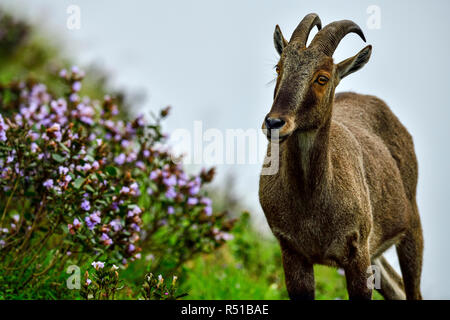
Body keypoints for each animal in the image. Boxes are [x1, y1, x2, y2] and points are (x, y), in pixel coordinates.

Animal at [258, 13, 424, 300]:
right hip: (375, 250)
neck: (309, 200)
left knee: (412, 289)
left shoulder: (356, 253)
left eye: (322, 78)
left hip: (410, 228)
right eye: (278, 67)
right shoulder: (293, 252)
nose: (275, 122)